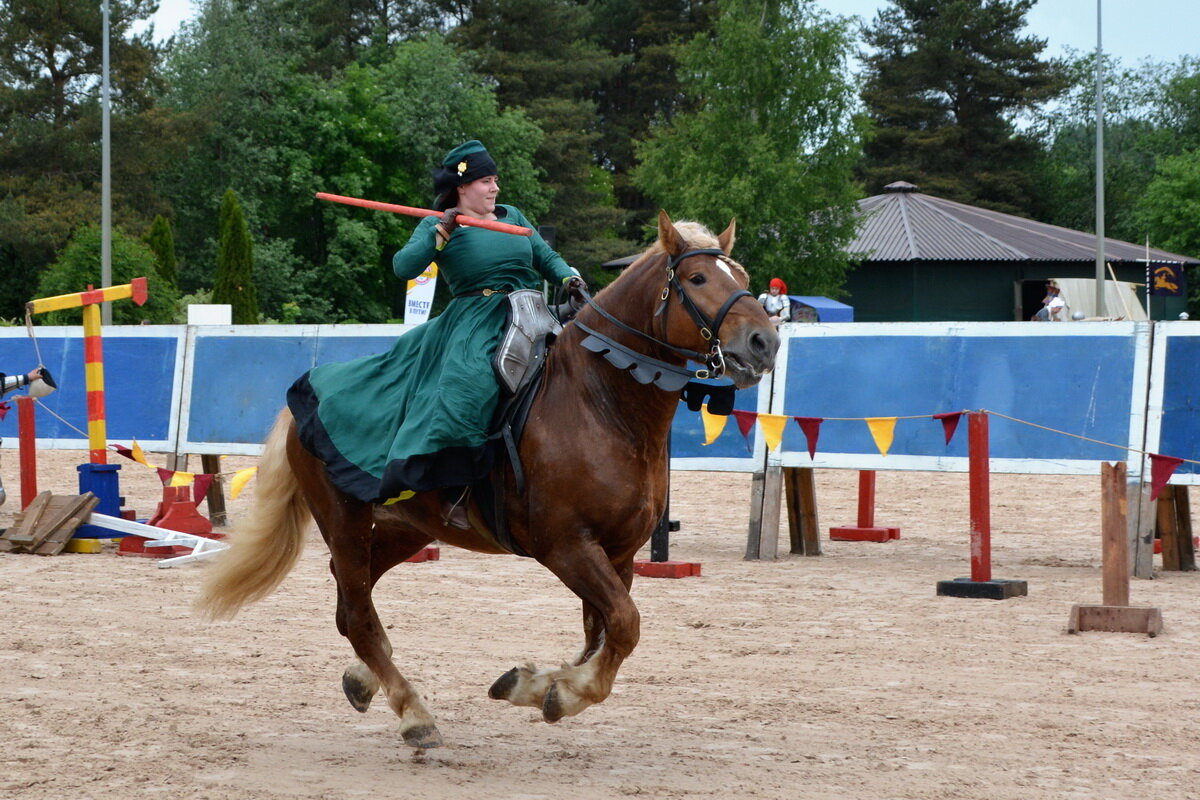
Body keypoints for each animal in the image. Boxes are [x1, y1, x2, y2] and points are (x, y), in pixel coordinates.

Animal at [196, 212, 777, 753]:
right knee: (357, 614)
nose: (764, 342)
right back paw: (414, 714)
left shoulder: (618, 553)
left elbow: (604, 634)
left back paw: (366, 681)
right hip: (345, 519)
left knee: (348, 597)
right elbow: (624, 626)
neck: (599, 401)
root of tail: (304, 400)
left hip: (407, 527)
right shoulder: (566, 546)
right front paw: (561, 691)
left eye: (742, 275)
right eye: (698, 278)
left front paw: (538, 684)